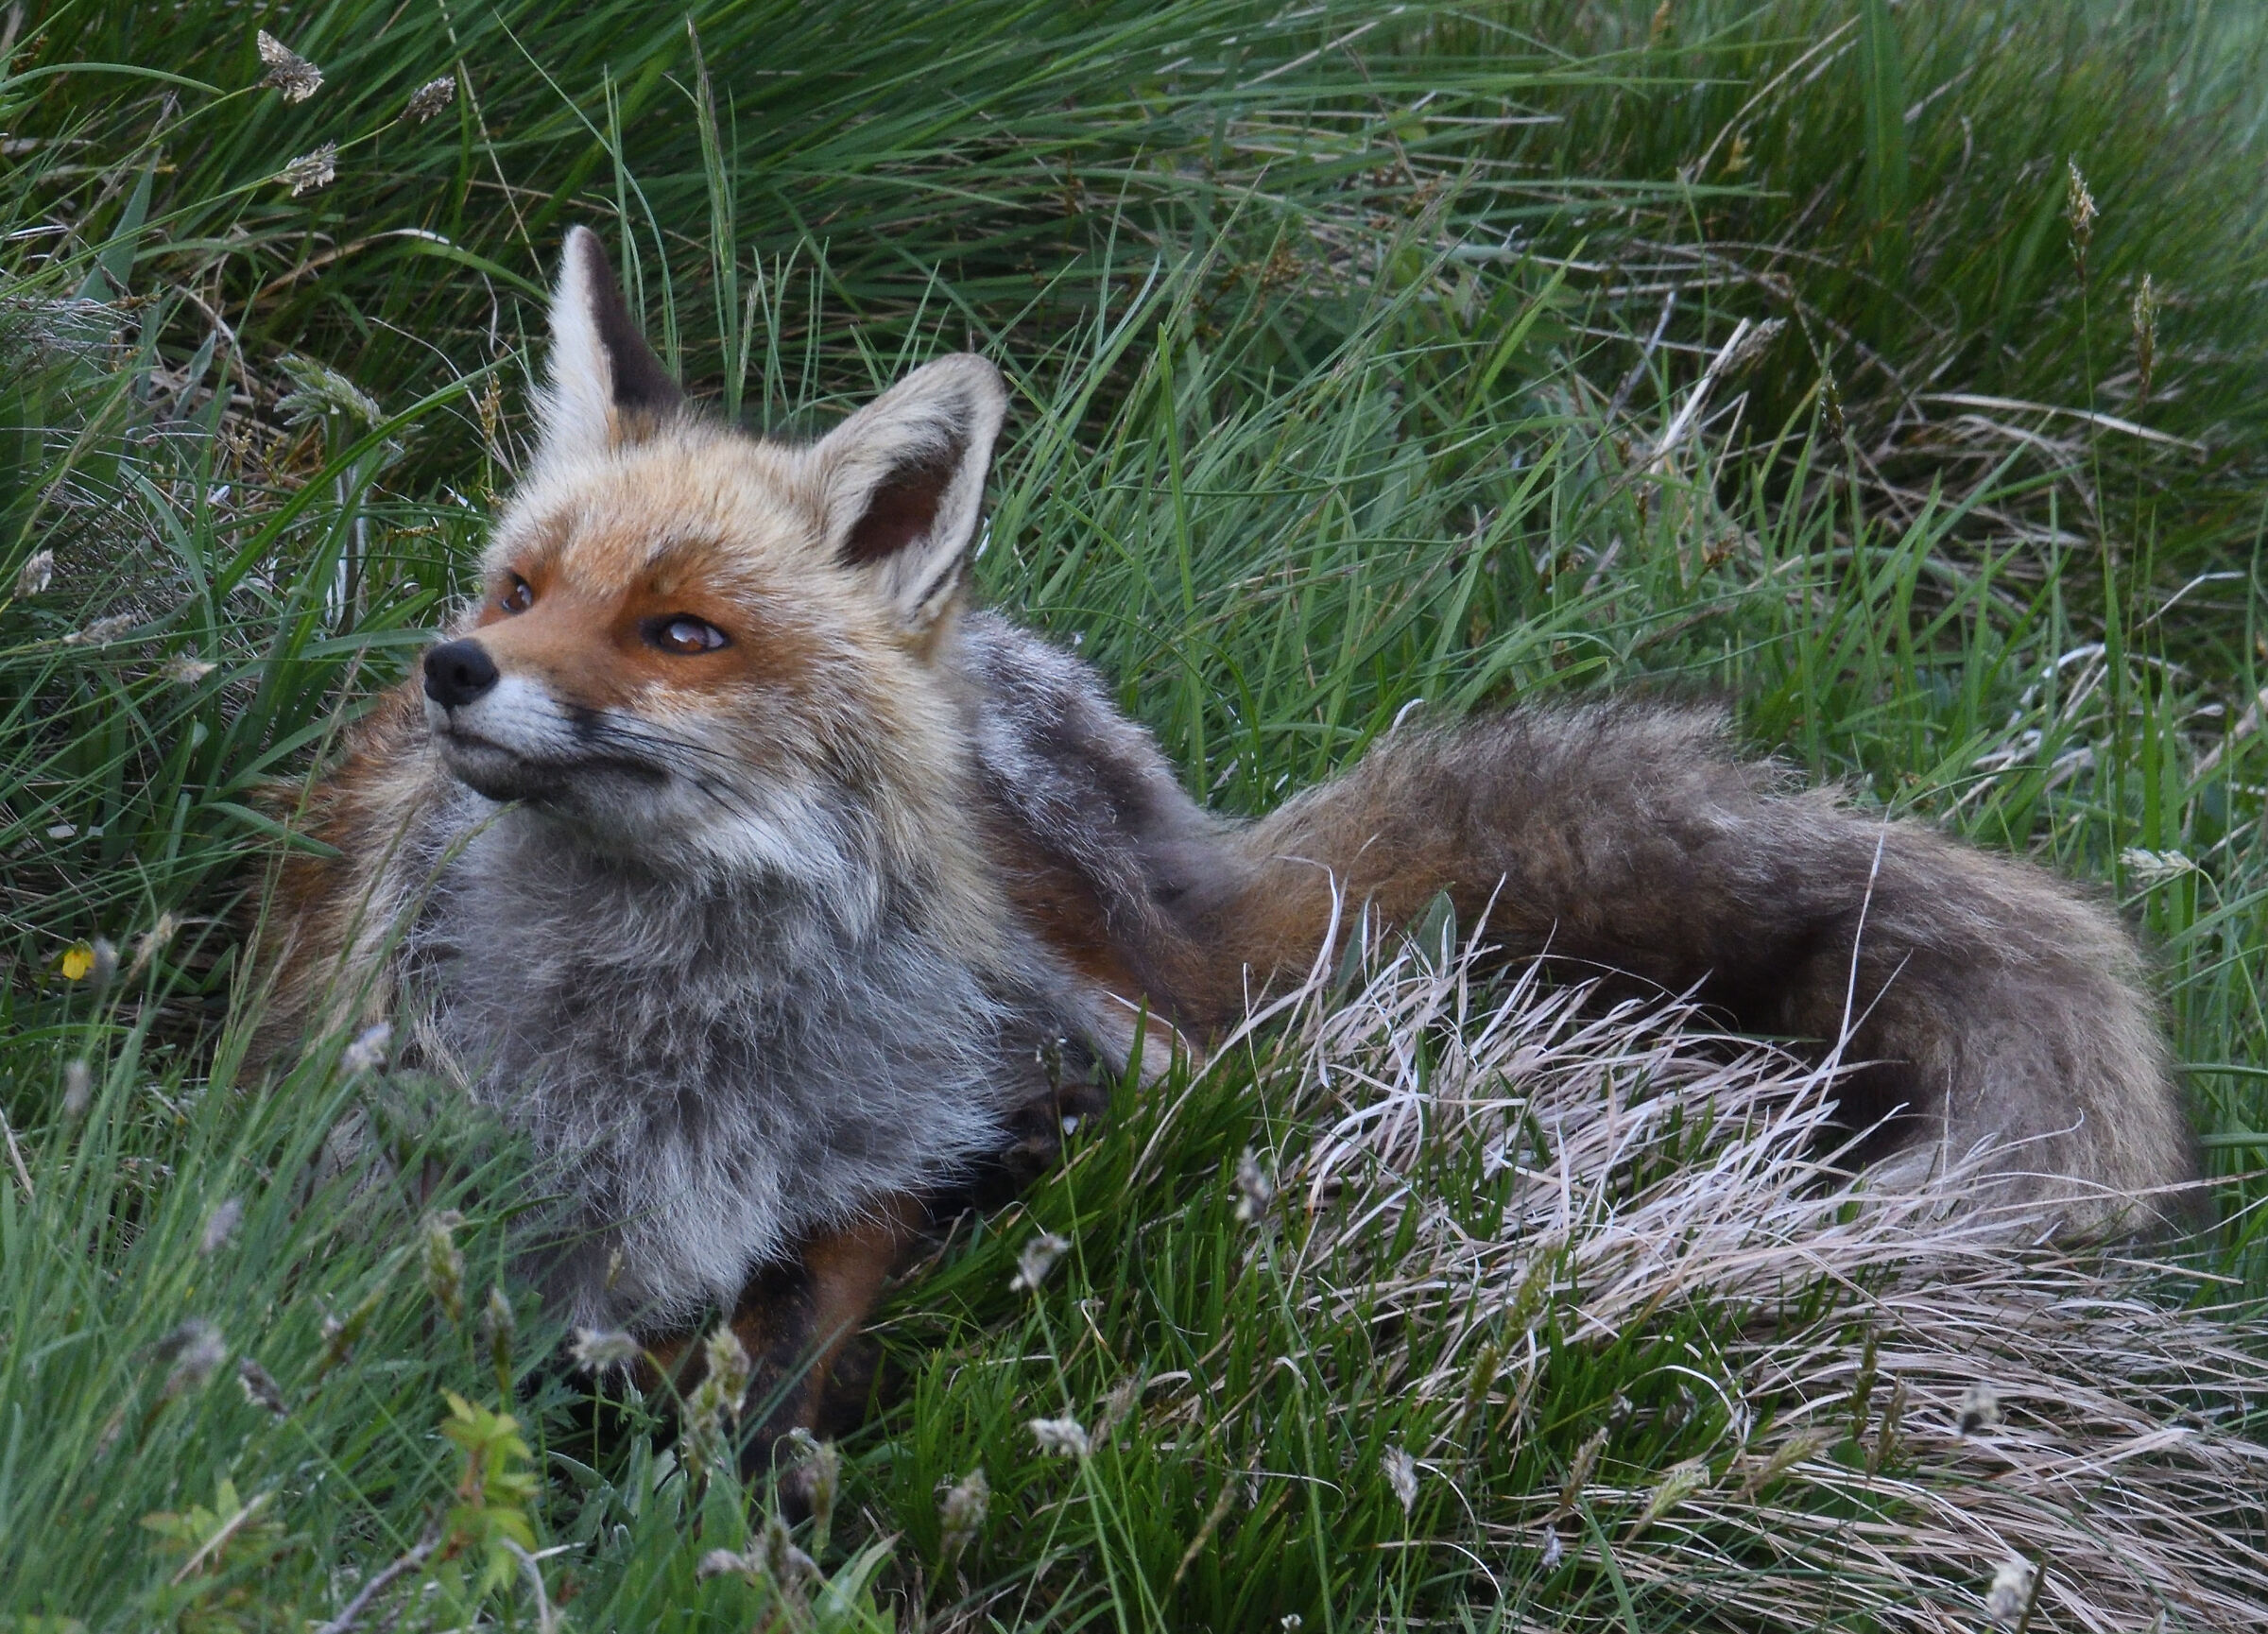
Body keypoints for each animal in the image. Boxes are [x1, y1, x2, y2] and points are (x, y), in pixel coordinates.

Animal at [257, 226, 2198, 1465]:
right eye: (521, 589)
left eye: (681, 632)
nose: (455, 667)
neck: (682, 1055)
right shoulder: (409, 1182)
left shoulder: (874, 1184)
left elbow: (793, 1368)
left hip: (1107, 1008)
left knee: (1214, 1081)